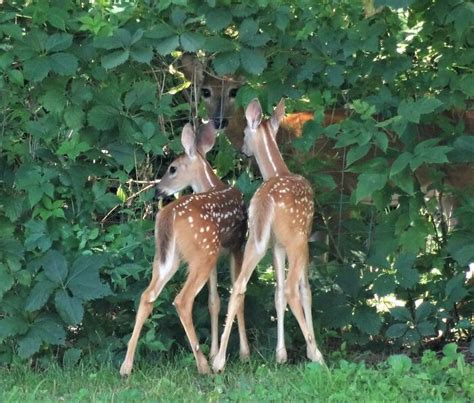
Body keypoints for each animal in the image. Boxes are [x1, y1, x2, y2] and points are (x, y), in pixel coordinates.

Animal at [120, 122, 250, 376]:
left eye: (172, 169)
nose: (158, 191)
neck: (213, 185)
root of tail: (166, 216)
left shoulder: (221, 254)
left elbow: (214, 301)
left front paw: (216, 352)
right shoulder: (236, 246)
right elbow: (237, 296)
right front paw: (242, 354)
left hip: (170, 257)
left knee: (147, 295)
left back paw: (126, 366)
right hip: (202, 254)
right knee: (182, 300)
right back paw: (203, 365)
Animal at [212, 98, 326, 376]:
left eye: (244, 133)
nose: (243, 149)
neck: (278, 170)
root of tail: (266, 199)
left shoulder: (275, 245)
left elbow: (277, 293)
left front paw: (280, 354)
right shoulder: (299, 239)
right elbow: (304, 291)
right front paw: (305, 350)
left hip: (255, 240)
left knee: (239, 285)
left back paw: (219, 361)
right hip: (297, 241)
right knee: (294, 289)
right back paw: (317, 356)